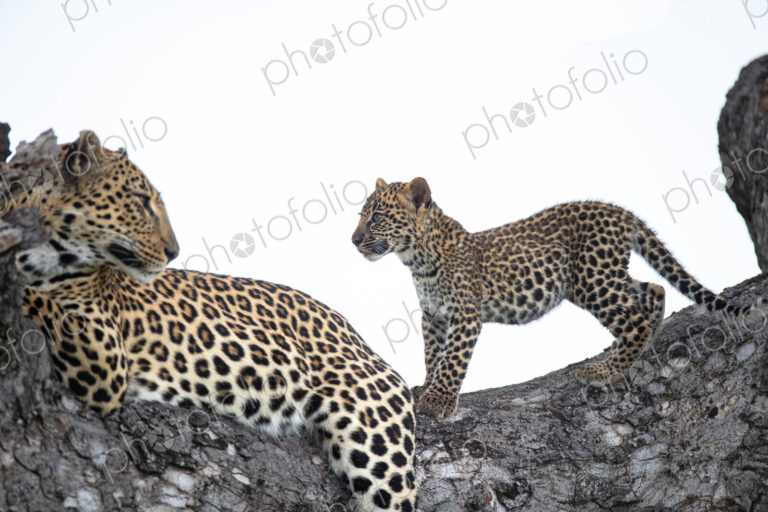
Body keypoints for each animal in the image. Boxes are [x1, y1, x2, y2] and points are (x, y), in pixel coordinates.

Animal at [7, 131, 417, 511]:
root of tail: (358, 337)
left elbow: (38, 297)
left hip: (376, 440)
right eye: (141, 202)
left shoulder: (104, 353)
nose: (172, 252)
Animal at [351, 176, 765, 418]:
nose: (353, 240)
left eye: (376, 217)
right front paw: (426, 386)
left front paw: (438, 399)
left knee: (634, 318)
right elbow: (432, 354)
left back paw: (606, 370)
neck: (416, 259)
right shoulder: (433, 316)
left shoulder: (464, 313)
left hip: (592, 279)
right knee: (654, 290)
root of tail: (620, 212)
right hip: (594, 279)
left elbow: (452, 358)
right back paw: (636, 345)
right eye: (361, 215)